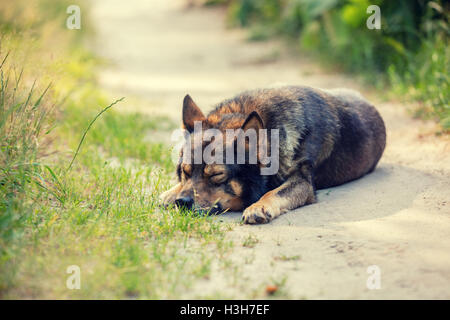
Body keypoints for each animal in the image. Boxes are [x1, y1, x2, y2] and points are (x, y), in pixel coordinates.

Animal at [160, 86, 384, 224]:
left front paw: (259, 206)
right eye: (185, 172)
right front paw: (171, 193)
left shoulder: (302, 182)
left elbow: (274, 192)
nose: (182, 202)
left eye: (216, 175)